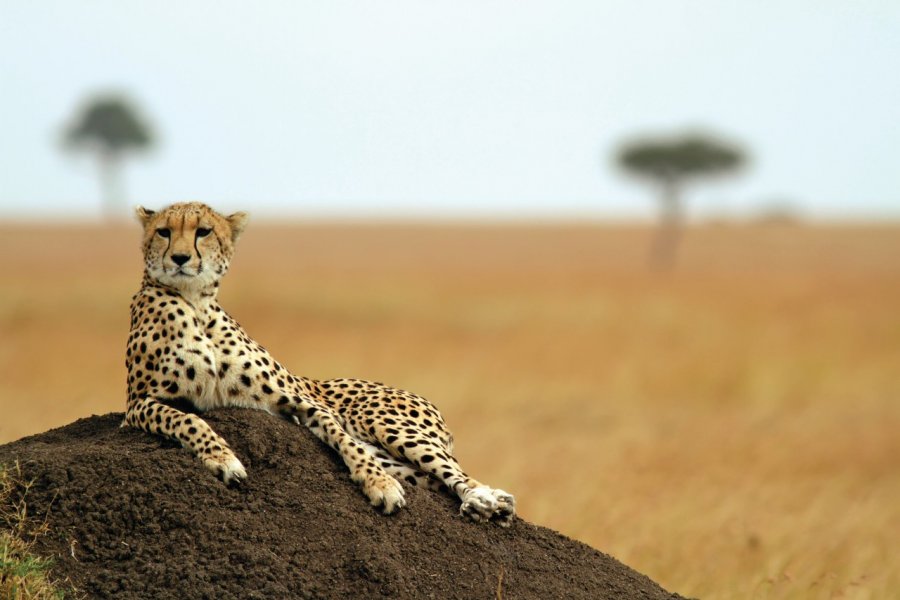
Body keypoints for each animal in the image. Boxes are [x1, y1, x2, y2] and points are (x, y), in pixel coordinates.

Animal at [121, 202, 512, 524]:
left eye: (203, 231)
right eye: (163, 232)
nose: (180, 258)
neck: (195, 303)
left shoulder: (300, 402)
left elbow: (343, 440)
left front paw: (380, 486)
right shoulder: (137, 405)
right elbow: (187, 419)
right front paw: (223, 460)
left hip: (388, 425)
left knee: (454, 471)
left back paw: (484, 499)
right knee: (430, 477)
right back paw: (488, 502)